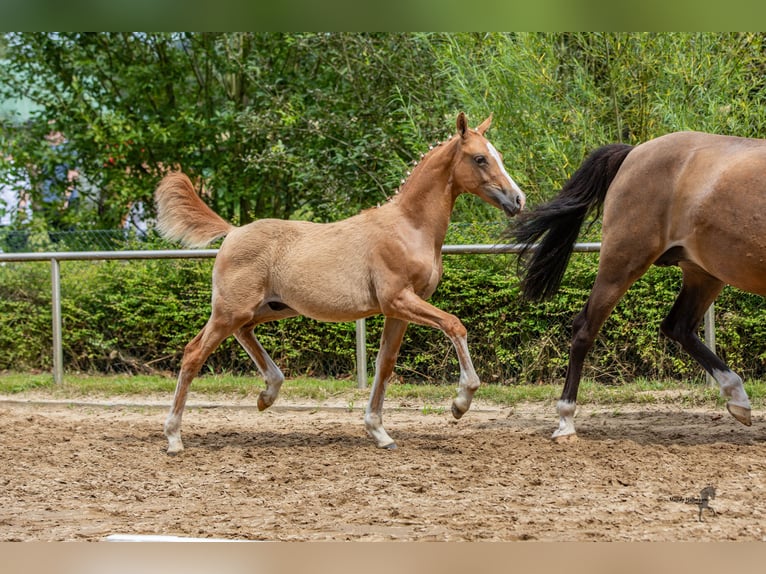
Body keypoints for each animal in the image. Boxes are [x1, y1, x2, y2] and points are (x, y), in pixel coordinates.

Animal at [156, 112, 528, 454]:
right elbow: (454, 325)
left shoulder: (397, 312)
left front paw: (379, 432)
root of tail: (232, 232)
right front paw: (460, 403)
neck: (409, 227)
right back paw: (174, 437)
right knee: (193, 354)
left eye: (498, 155)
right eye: (479, 158)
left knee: (242, 334)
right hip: (230, 311)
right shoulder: (399, 299)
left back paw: (268, 393)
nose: (517, 200)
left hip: (268, 309)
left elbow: (385, 364)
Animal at [512, 133, 764, 444]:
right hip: (623, 261)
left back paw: (738, 400)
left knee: (678, 326)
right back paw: (565, 422)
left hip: (703, 273)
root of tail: (634, 153)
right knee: (585, 328)